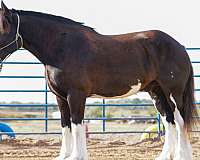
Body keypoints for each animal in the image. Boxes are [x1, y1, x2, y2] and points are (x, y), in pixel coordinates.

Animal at [0, 1, 198, 160]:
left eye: (1, 26)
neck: (62, 47)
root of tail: (179, 46)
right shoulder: (60, 98)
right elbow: (65, 125)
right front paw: (64, 155)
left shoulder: (76, 95)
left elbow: (76, 124)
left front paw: (76, 156)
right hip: (157, 92)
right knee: (169, 121)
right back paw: (164, 156)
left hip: (173, 93)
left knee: (180, 122)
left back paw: (182, 155)